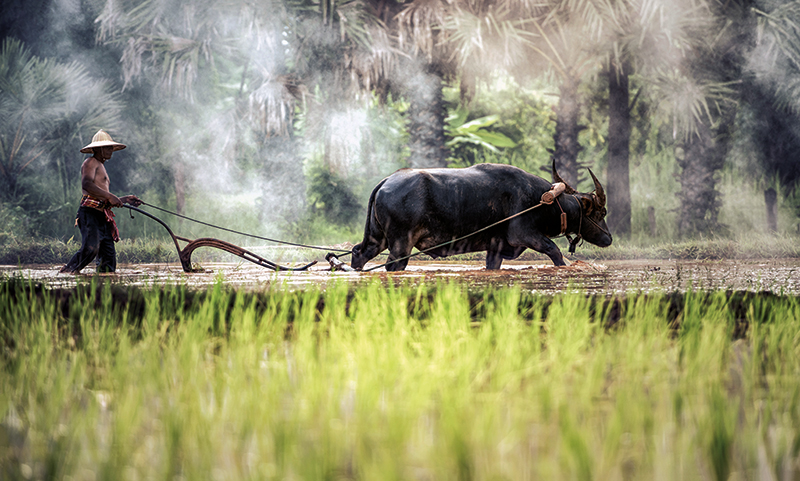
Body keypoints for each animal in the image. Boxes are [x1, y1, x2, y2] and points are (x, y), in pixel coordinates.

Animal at [352, 162, 612, 270]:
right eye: (601, 212)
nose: (609, 238)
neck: (544, 200)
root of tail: (387, 181)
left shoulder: (495, 249)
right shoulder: (525, 235)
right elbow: (555, 252)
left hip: (377, 238)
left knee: (359, 253)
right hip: (400, 244)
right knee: (393, 265)